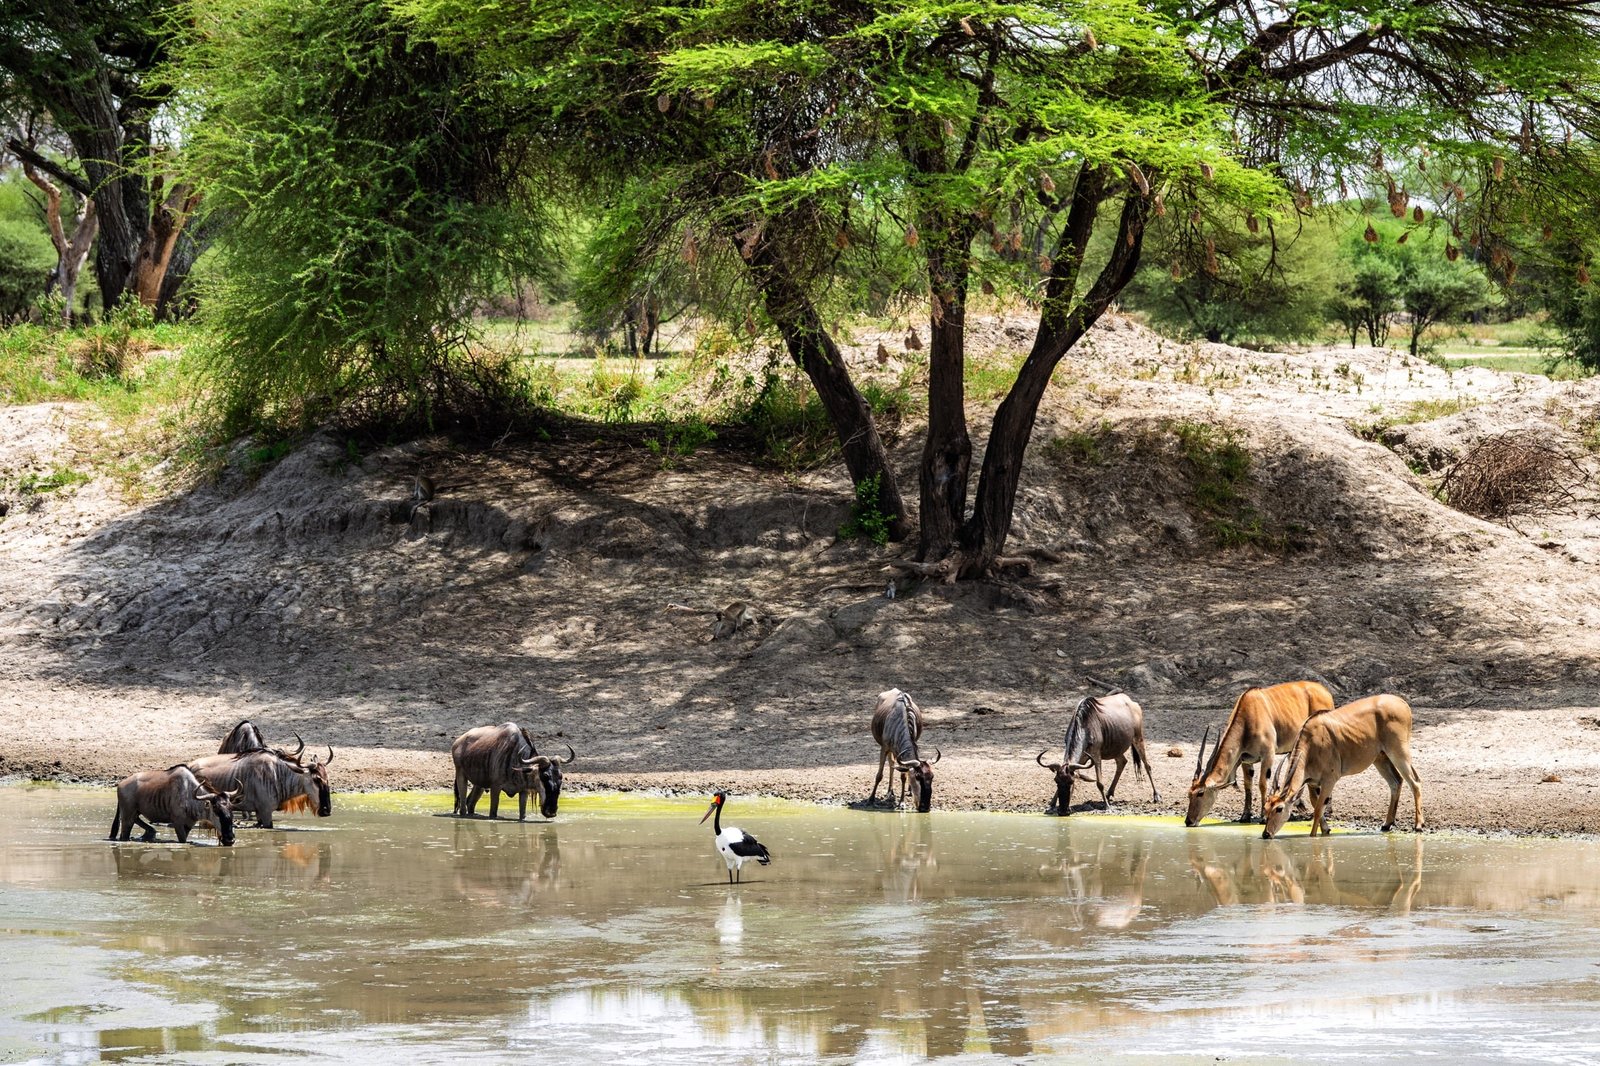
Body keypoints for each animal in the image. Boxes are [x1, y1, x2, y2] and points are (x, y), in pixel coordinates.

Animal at [1190, 681, 1337, 819]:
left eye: (1200, 793)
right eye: (1189, 794)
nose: (1189, 821)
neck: (1247, 718)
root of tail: (1325, 691)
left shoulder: (1268, 755)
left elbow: (1262, 784)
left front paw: (1262, 815)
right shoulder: (1245, 759)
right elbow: (1247, 785)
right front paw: (1245, 815)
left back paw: (1326, 811)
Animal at [1260, 694, 1427, 832]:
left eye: (1279, 809)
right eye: (1266, 808)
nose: (1266, 834)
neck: (1310, 742)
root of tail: (1403, 703)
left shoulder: (1329, 780)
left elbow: (1318, 809)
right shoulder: (1312, 782)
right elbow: (1315, 804)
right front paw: (1326, 829)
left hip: (1398, 752)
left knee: (1415, 782)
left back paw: (1418, 824)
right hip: (1381, 759)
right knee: (1396, 782)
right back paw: (1387, 824)